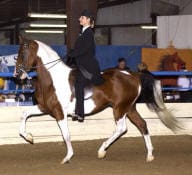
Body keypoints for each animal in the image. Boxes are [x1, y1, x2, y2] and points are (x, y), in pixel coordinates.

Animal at [14, 35, 182, 164]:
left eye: (22, 52)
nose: (17, 74)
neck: (53, 79)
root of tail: (133, 75)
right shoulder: (44, 107)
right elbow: (24, 114)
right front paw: (29, 137)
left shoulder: (59, 112)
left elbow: (65, 134)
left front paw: (67, 157)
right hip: (129, 108)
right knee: (142, 125)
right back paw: (149, 155)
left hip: (120, 108)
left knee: (122, 128)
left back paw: (102, 151)